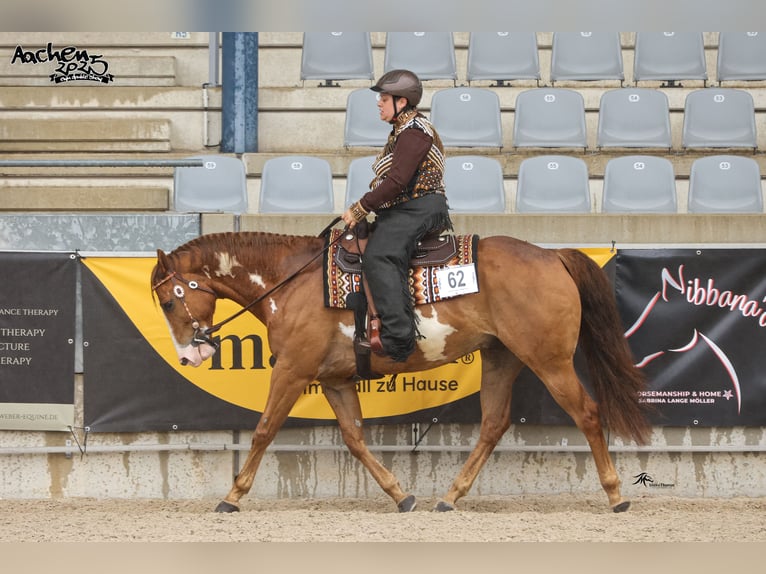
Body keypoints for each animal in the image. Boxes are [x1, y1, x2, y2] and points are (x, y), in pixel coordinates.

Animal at [150, 228, 650, 513]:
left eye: (170, 301)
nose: (189, 356)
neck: (291, 282)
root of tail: (552, 256)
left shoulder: (292, 371)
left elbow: (263, 430)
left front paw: (232, 497)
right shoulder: (334, 380)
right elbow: (354, 438)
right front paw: (400, 495)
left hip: (549, 360)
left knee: (587, 413)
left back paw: (616, 494)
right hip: (501, 357)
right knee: (493, 423)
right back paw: (449, 497)